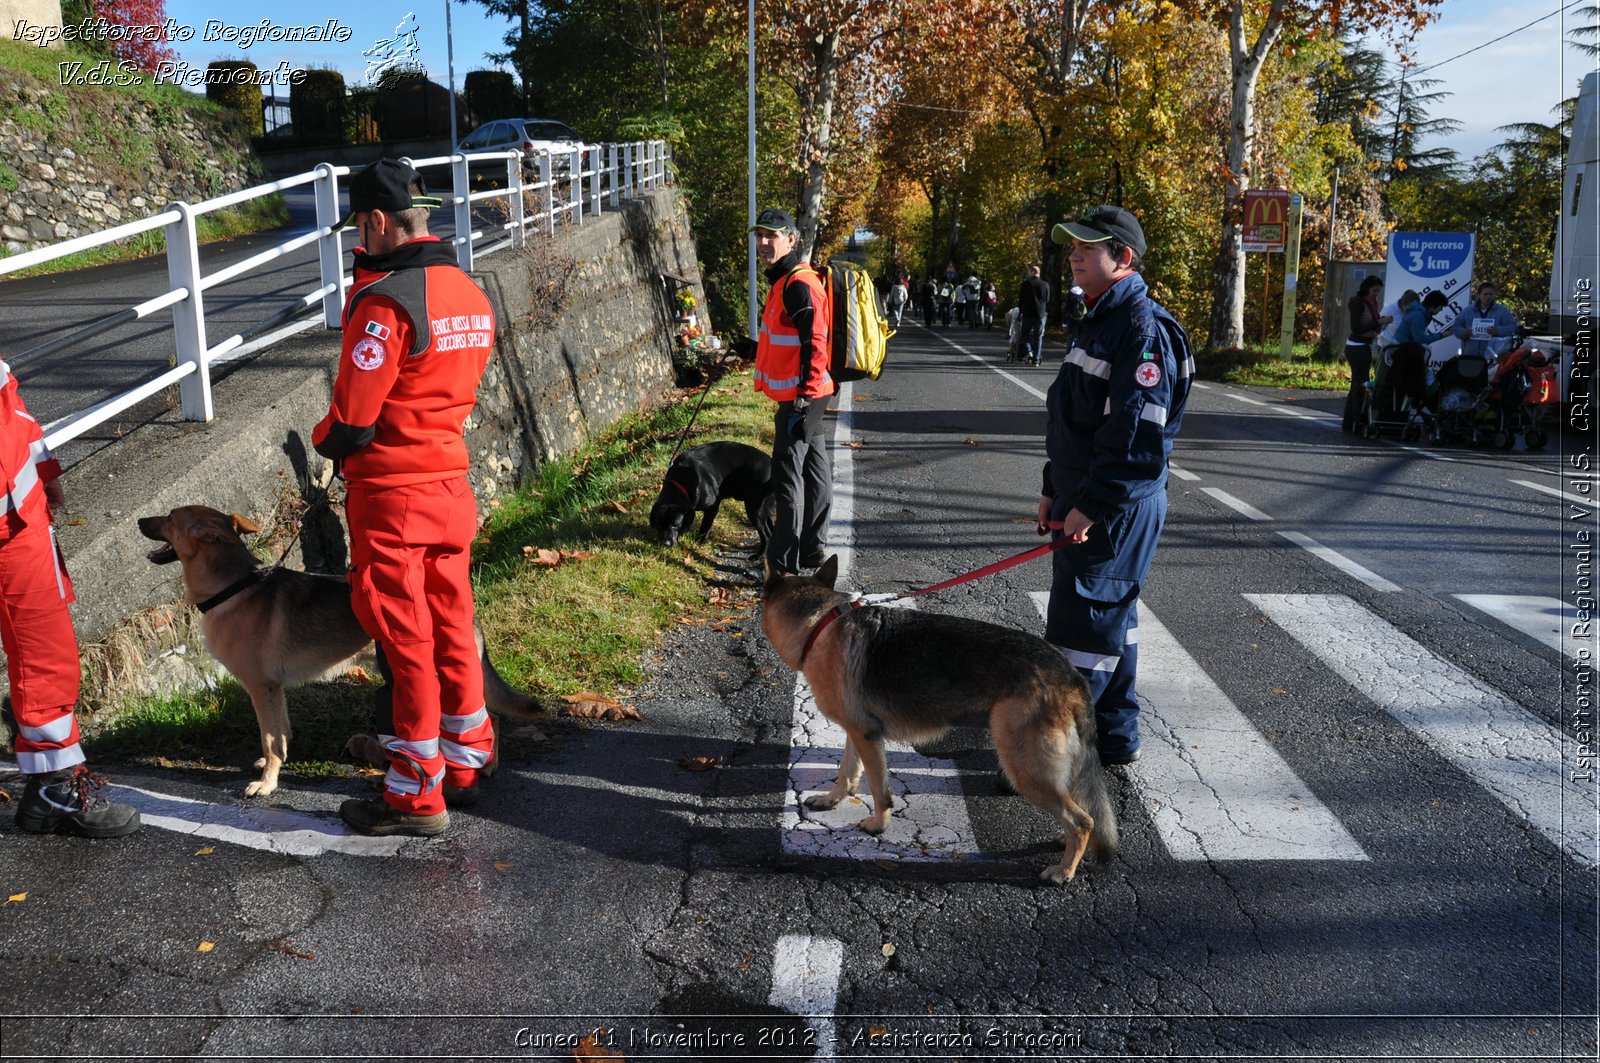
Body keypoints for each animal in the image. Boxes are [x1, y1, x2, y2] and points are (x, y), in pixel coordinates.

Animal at [137, 505, 537, 797]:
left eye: (169, 517)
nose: (139, 521)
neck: (233, 587)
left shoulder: (260, 688)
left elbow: (269, 740)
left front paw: (267, 783)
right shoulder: (274, 690)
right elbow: (281, 734)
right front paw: (275, 765)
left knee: (490, 717)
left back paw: (484, 764)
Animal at [646, 438, 777, 547]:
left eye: (675, 525)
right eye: (658, 525)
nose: (666, 544)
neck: (681, 481)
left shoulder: (712, 507)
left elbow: (705, 526)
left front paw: (700, 542)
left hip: (754, 508)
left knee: (766, 535)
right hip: (766, 506)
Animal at [758, 557, 1113, 877]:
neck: (820, 624)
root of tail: (1070, 673)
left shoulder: (867, 738)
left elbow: (879, 790)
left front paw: (878, 825)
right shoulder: (857, 734)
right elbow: (846, 774)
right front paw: (832, 800)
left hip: (1026, 770)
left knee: (1083, 820)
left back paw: (1064, 871)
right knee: (1079, 813)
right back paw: (1066, 843)